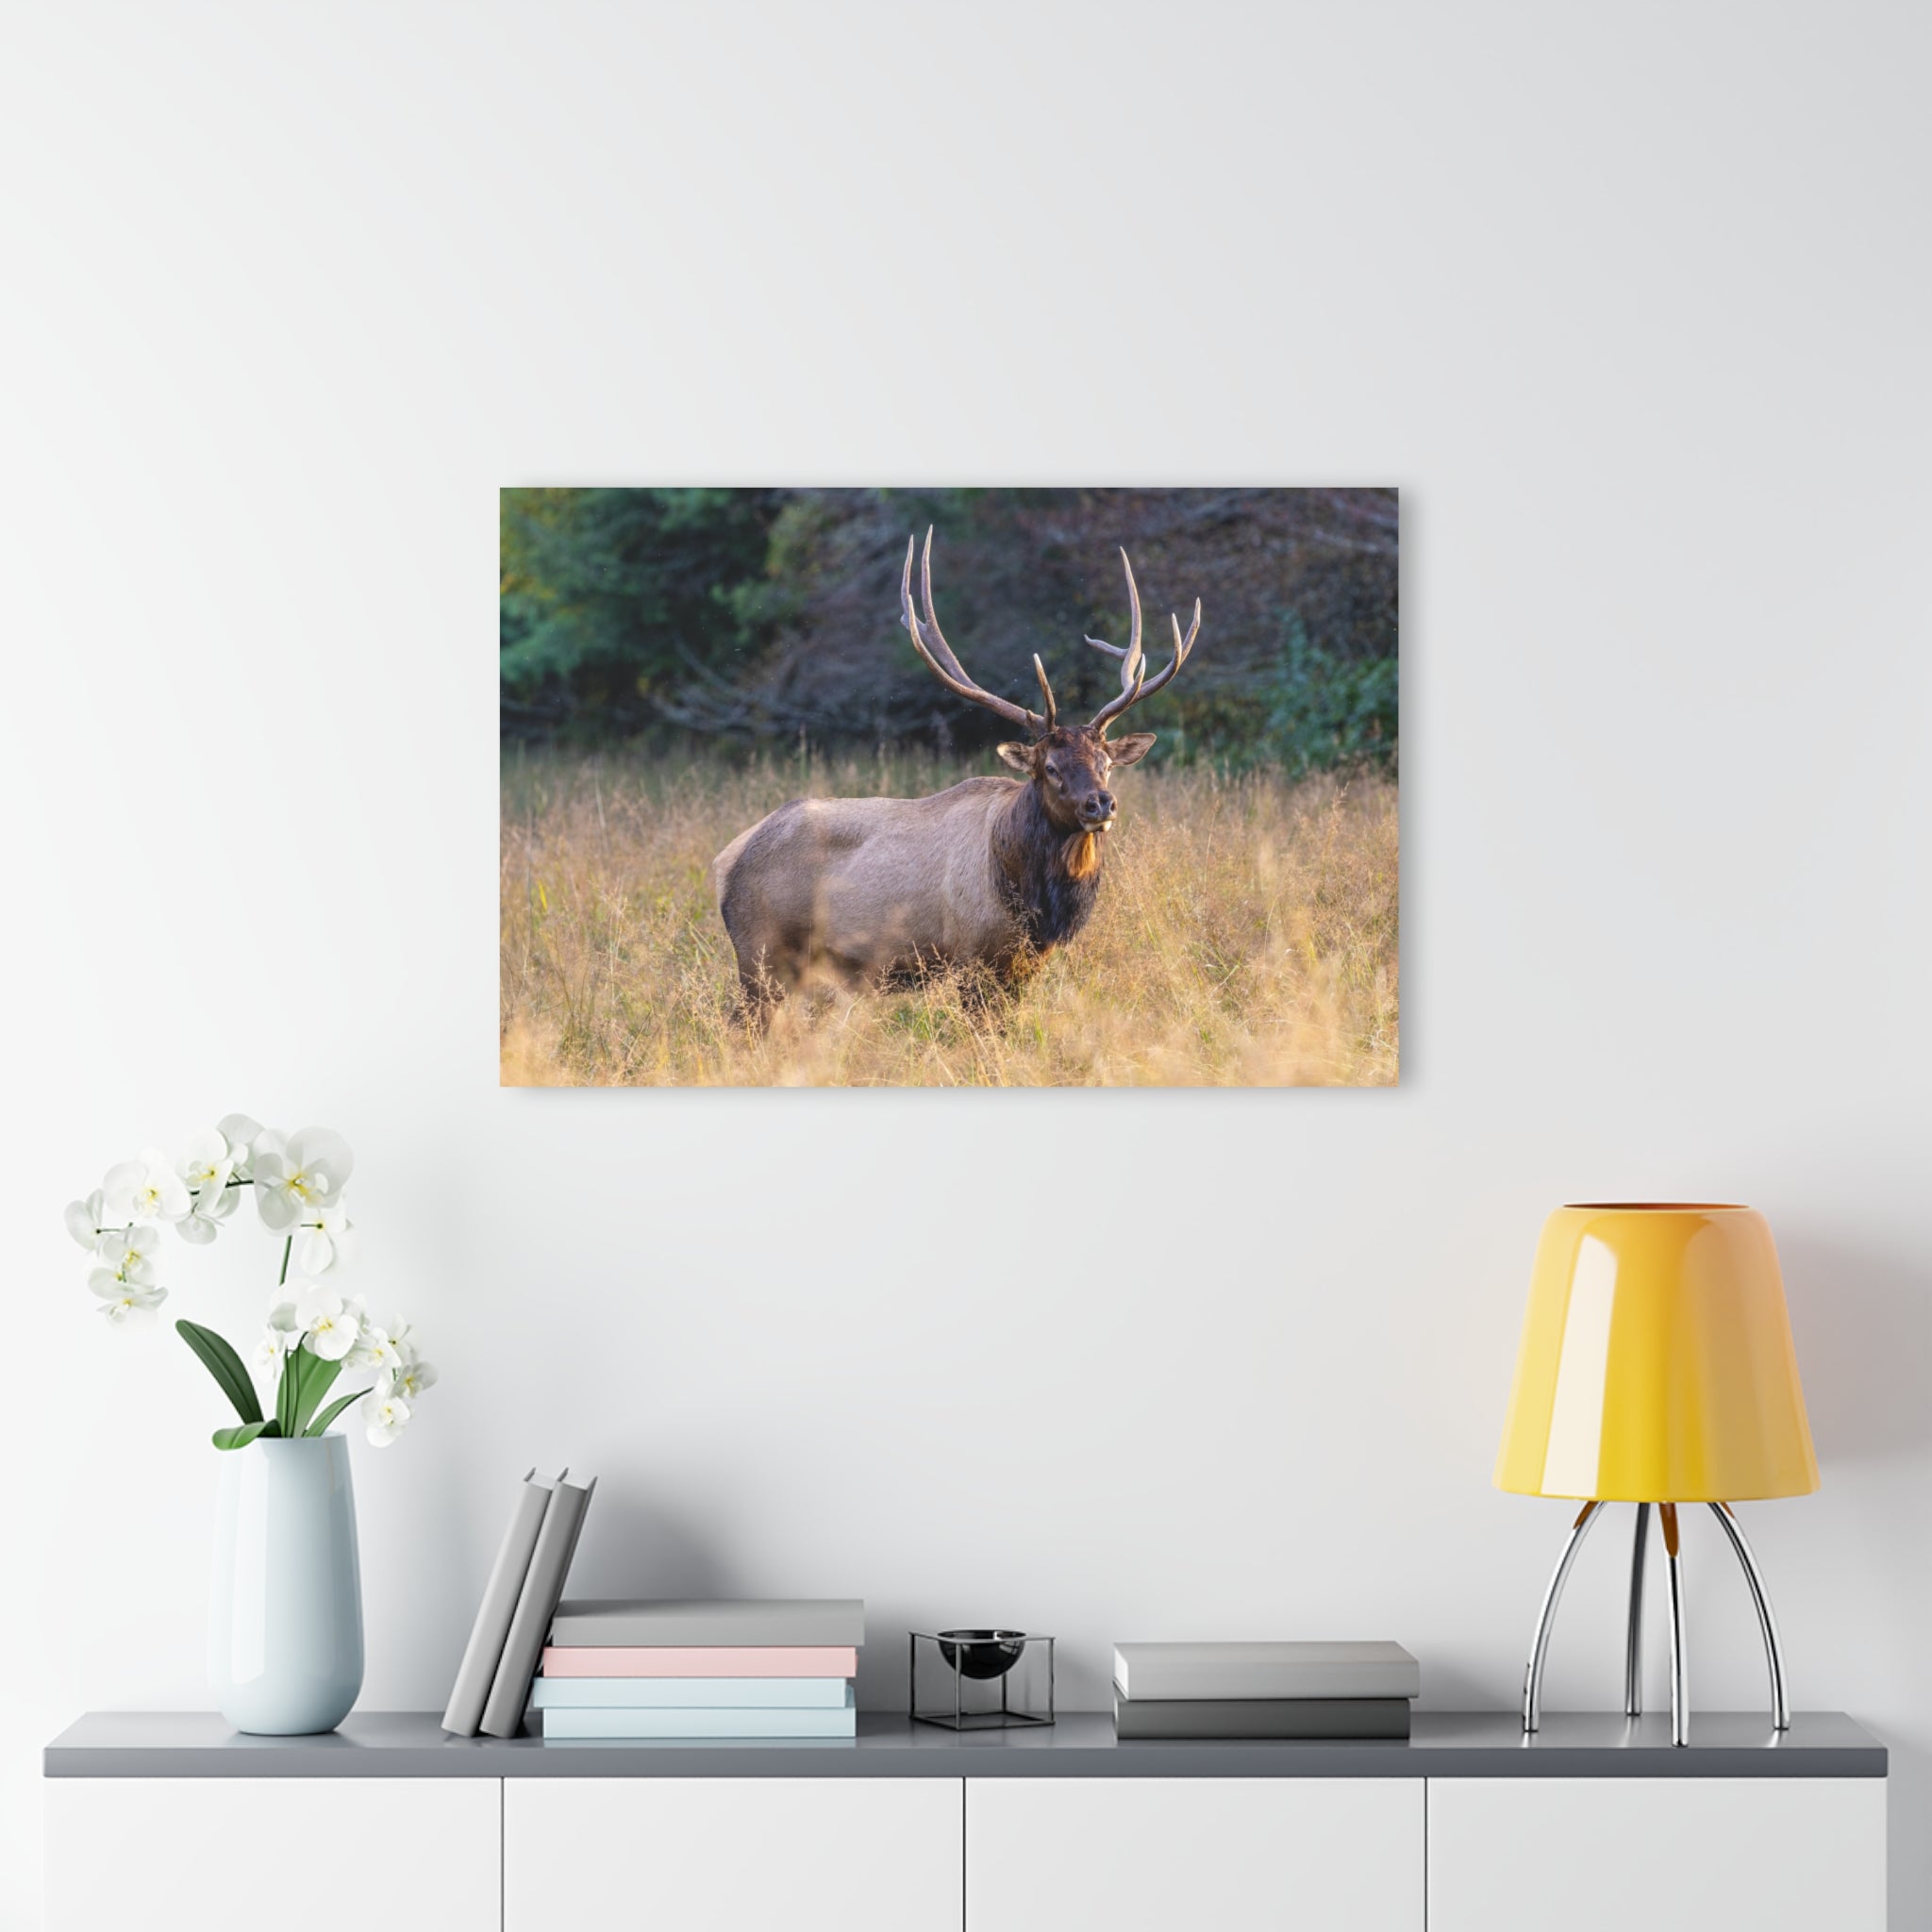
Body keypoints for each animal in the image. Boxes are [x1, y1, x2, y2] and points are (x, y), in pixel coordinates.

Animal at [711, 528, 1201, 1015]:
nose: (1100, 803)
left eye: (1107, 764)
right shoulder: (971, 958)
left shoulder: (1023, 965)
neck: (1033, 900)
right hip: (761, 952)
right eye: (1051, 767)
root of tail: (725, 861)